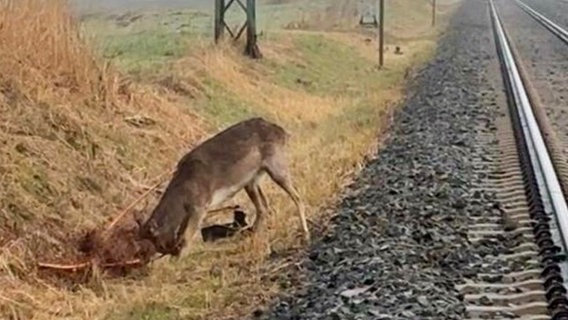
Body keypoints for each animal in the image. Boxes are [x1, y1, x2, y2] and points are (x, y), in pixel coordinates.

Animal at [136, 116, 310, 256]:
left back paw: (305, 234)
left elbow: (185, 237)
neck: (183, 195)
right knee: (264, 207)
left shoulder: (200, 205)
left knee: (297, 196)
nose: (168, 250)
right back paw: (251, 235)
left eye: (156, 241)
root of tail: (283, 133)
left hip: (276, 165)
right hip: (252, 179)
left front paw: (180, 258)